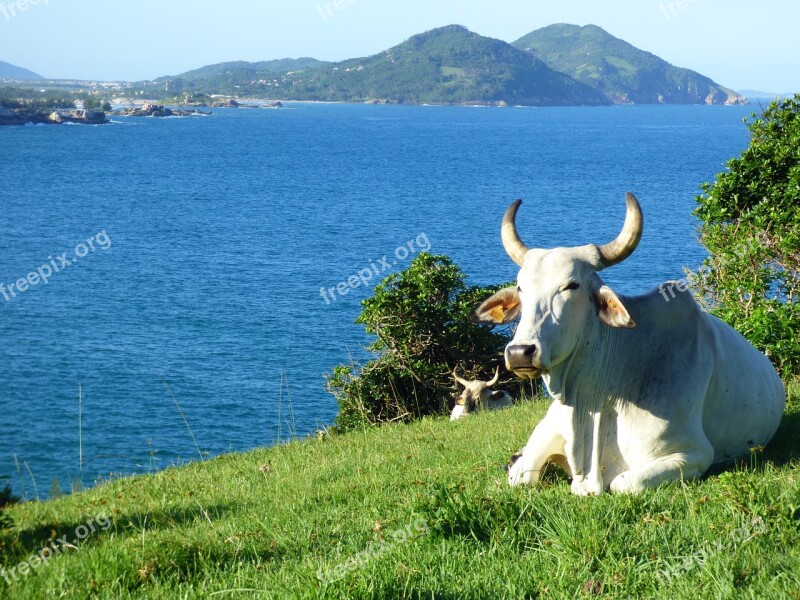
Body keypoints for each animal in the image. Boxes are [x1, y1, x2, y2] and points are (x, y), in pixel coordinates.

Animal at [472, 195, 784, 494]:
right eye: (521, 288)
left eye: (572, 285)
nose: (519, 352)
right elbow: (522, 477)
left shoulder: (694, 452)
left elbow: (623, 484)